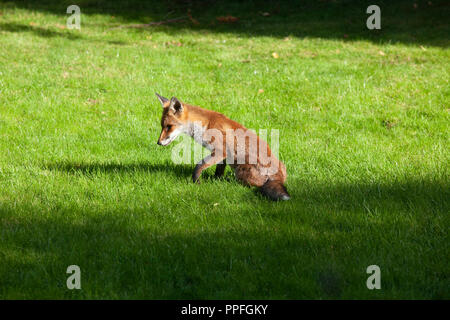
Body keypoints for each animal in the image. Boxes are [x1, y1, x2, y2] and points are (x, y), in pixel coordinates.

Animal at [155, 92, 288, 200]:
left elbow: (199, 165)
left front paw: (196, 181)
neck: (205, 125)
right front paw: (216, 180)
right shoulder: (224, 156)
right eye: (162, 126)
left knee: (256, 186)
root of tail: (278, 177)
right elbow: (218, 171)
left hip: (240, 169)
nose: (158, 143)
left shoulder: (220, 151)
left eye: (169, 126)